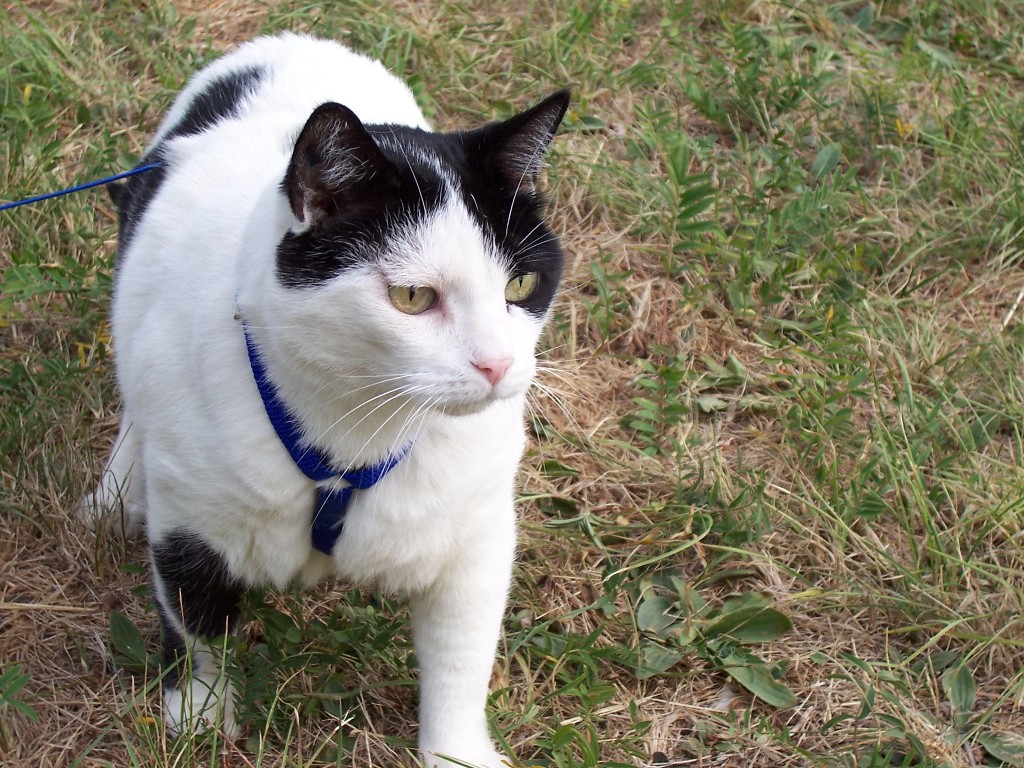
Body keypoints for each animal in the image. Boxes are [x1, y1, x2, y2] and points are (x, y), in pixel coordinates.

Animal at [84, 31, 569, 768]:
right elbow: (196, 621)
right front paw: (199, 715)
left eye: (519, 285)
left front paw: (456, 751)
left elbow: (462, 658)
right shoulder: (190, 520)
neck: (355, 425)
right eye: (411, 296)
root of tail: (289, 39)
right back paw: (116, 492)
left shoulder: (474, 529)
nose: (498, 364)